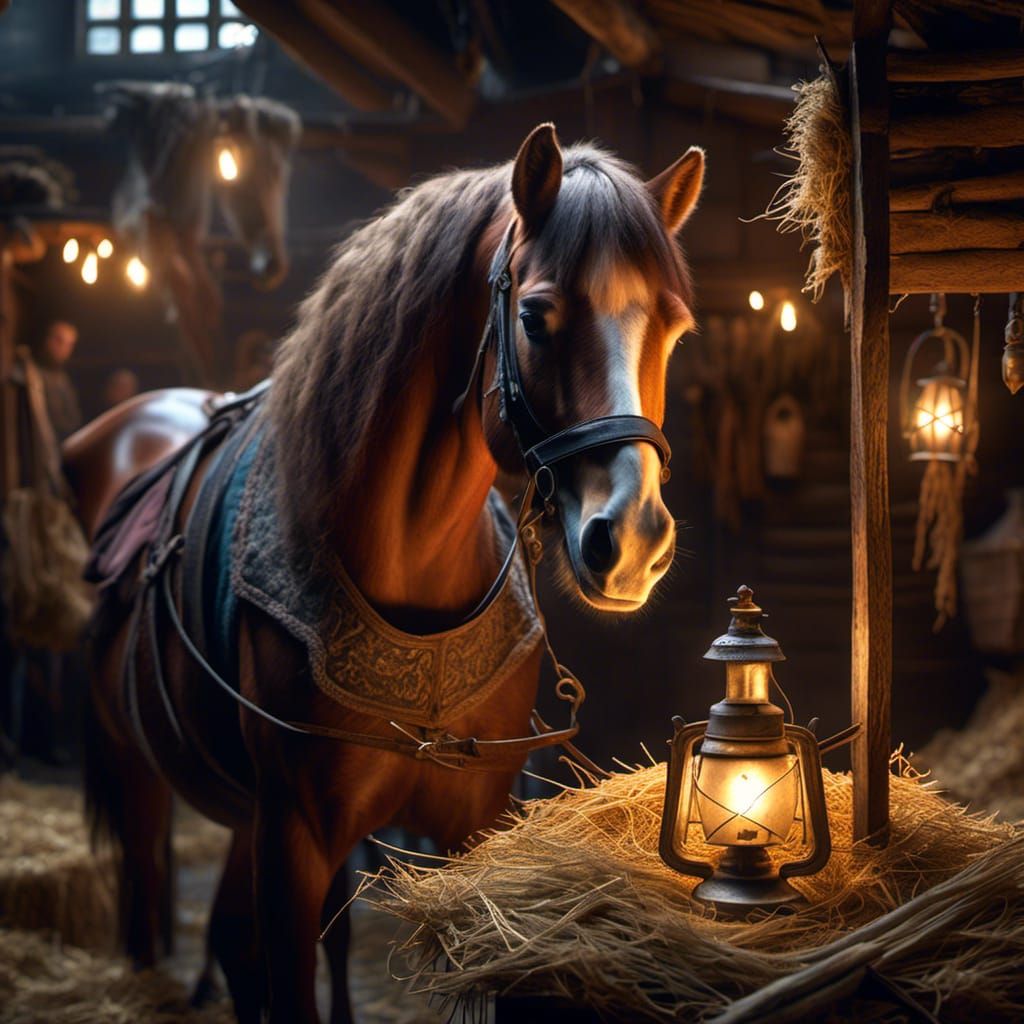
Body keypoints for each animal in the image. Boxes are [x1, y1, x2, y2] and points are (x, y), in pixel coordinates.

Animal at [66, 123, 704, 1023]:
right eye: (535, 317)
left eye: (674, 330)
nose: (636, 538)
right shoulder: (296, 839)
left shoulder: (474, 825)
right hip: (143, 778)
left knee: (228, 936)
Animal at [105, 82, 300, 386]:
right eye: (255, 170)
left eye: (284, 174)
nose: (274, 267)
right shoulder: (154, 236)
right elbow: (188, 300)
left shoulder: (183, 233)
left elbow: (204, 297)